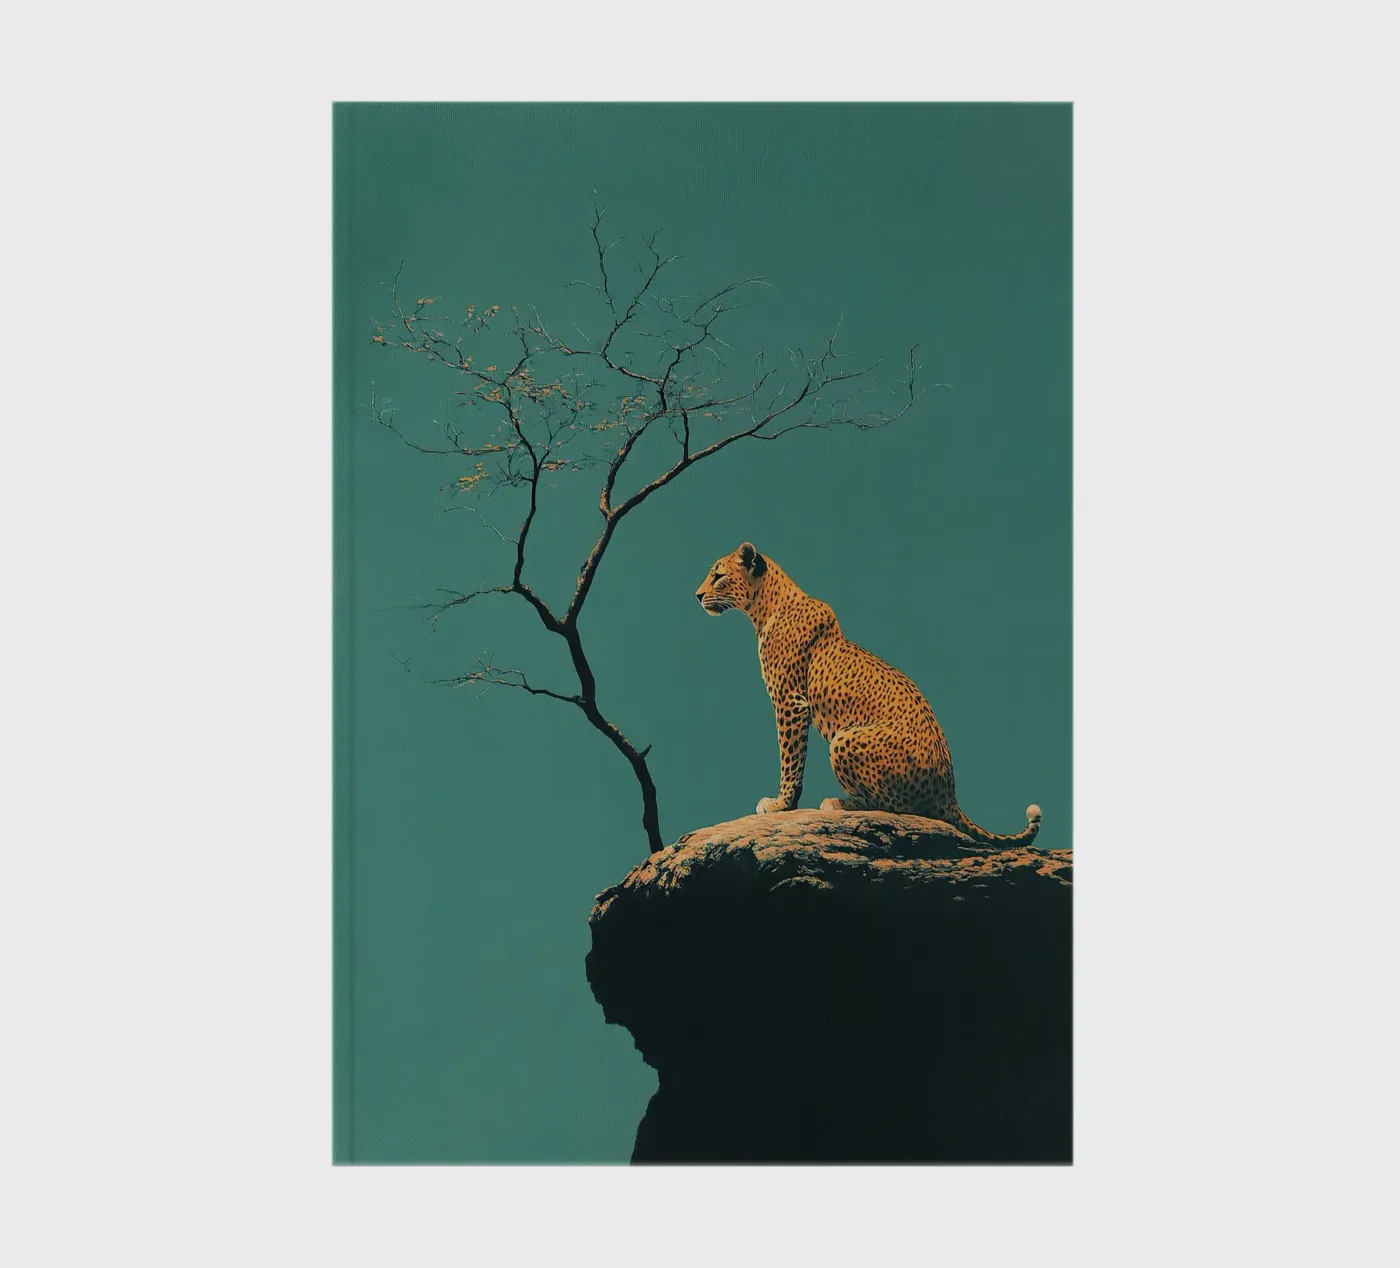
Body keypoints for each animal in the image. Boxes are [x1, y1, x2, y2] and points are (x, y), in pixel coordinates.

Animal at [695, 541, 1041, 846]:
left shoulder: (790, 702)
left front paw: (781, 803)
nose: (698, 595)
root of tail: (949, 795)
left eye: (718, 575)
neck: (764, 606)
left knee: (897, 808)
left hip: (845, 739)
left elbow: (790, 758)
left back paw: (839, 803)